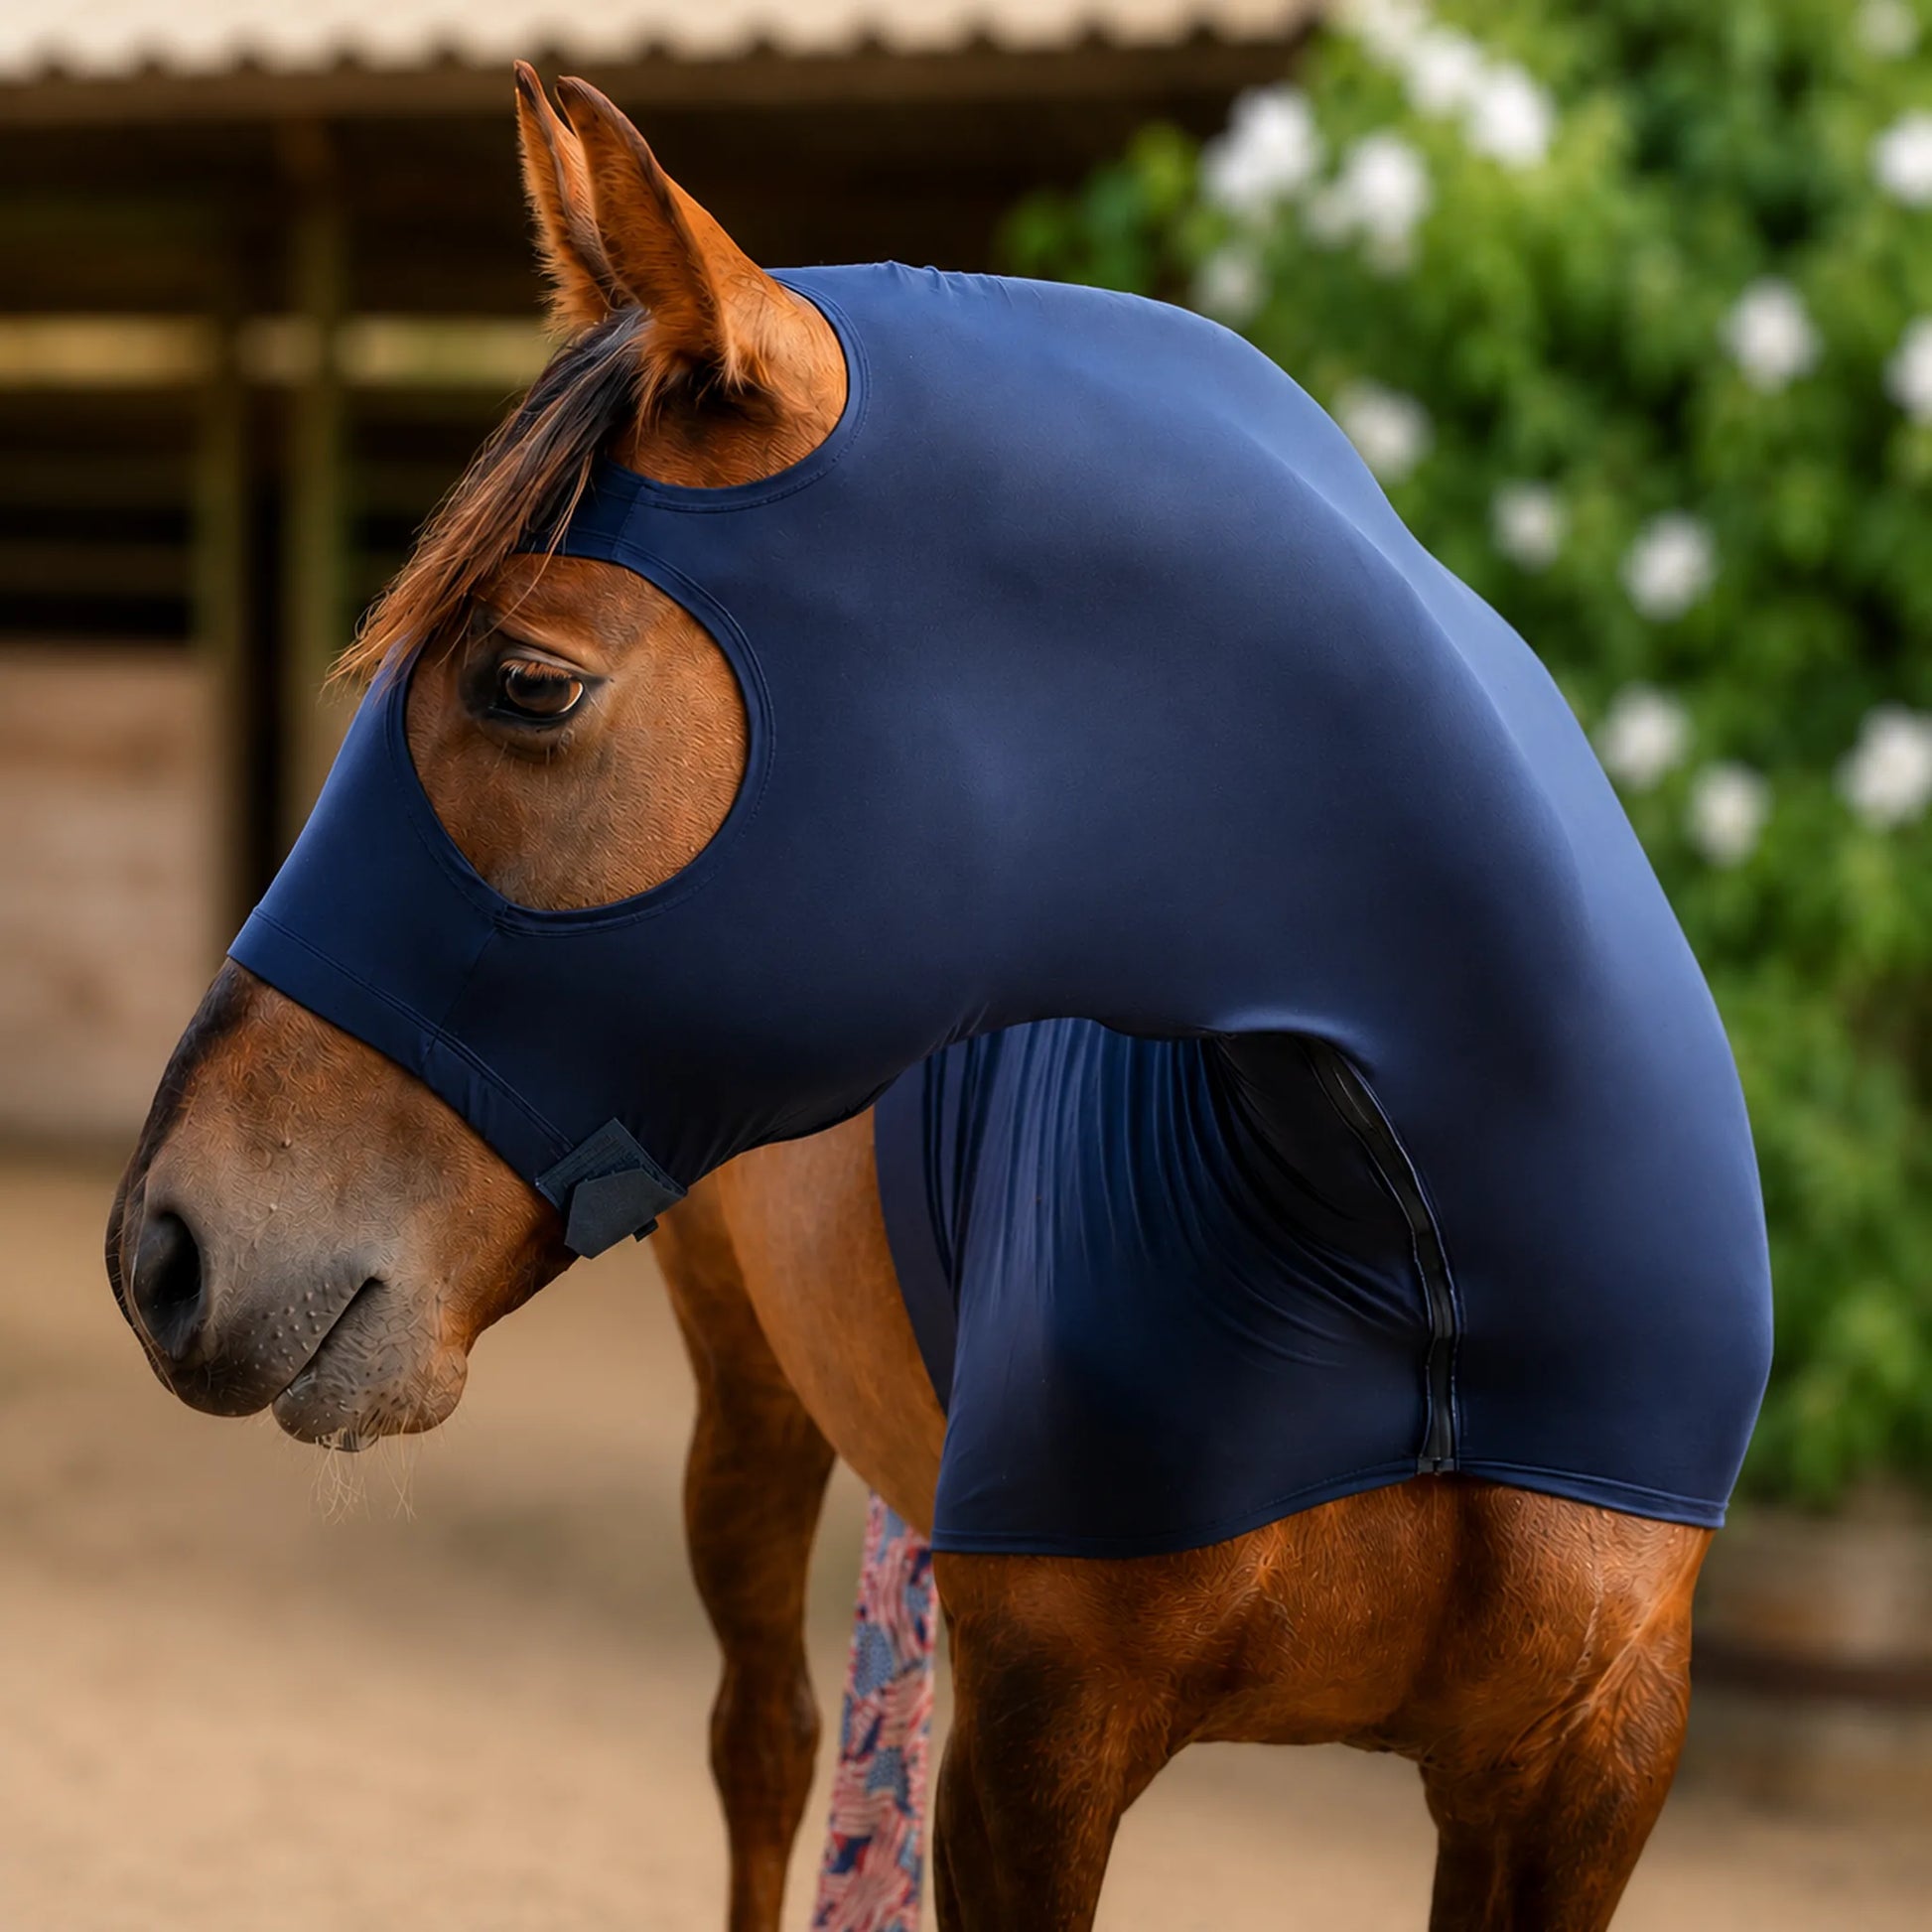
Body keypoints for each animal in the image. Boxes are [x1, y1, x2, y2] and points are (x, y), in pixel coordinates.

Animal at [106, 67, 1758, 1931]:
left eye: (525, 681)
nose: (162, 1247)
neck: (1408, 1243)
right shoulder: (1036, 1750)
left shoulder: (1580, 1768)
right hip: (746, 1407)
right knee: (765, 1740)